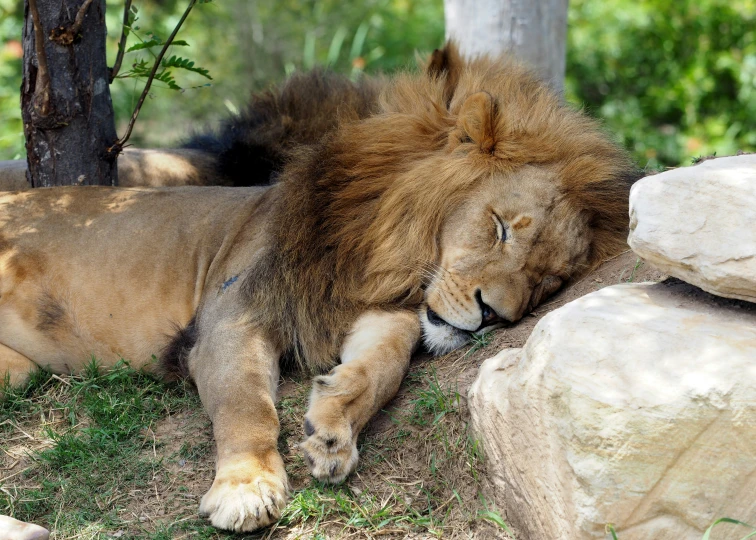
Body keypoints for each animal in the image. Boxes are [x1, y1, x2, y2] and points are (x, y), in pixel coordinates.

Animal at [0, 43, 636, 532]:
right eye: (501, 227)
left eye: (546, 282)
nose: (493, 316)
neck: (378, 258)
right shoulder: (234, 318)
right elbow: (247, 405)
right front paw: (246, 487)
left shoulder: (382, 314)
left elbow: (381, 368)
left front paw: (332, 429)